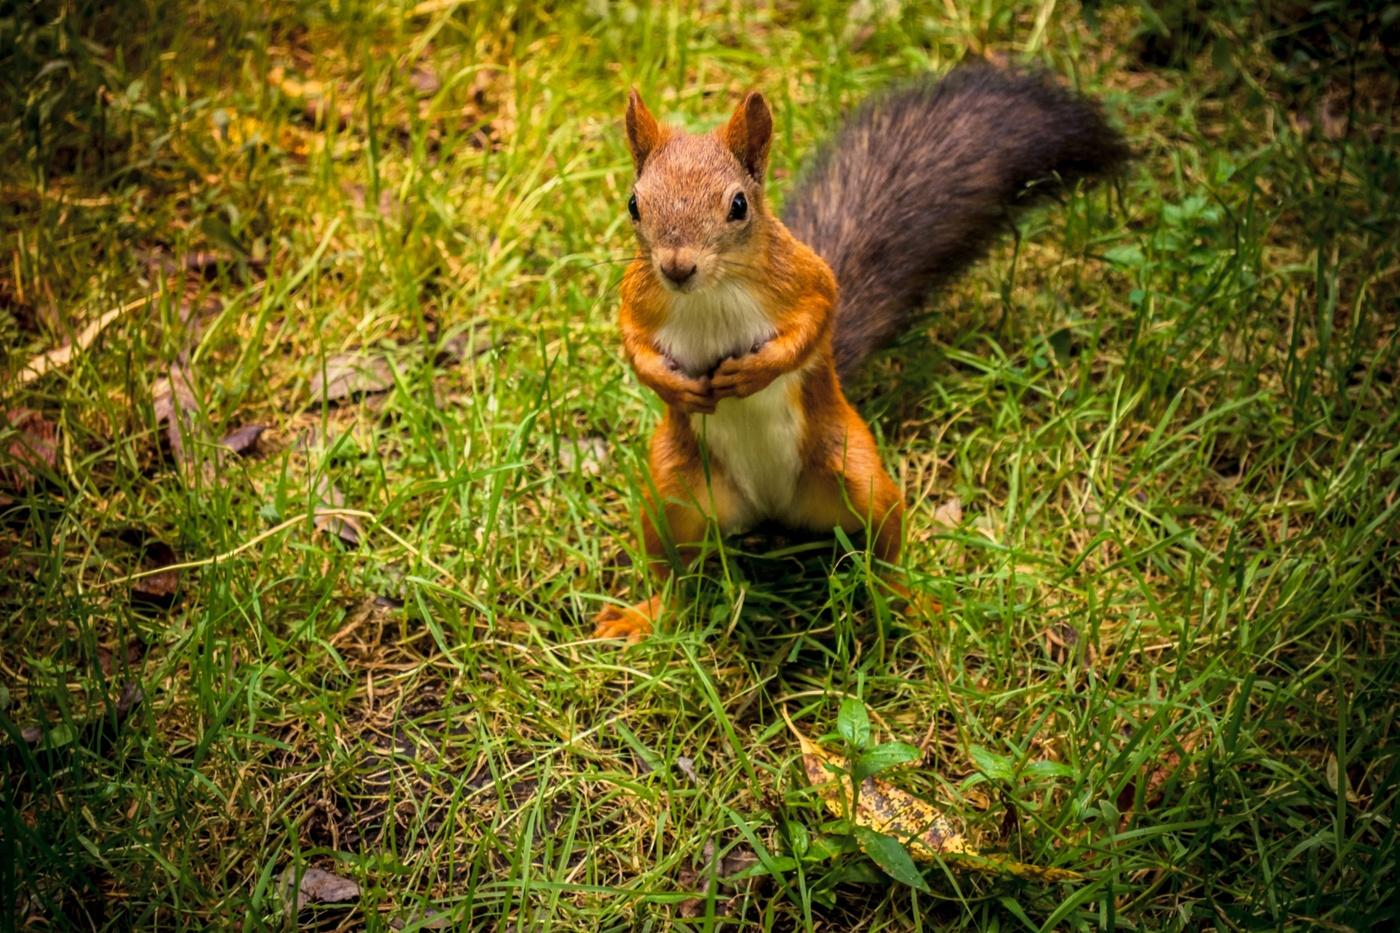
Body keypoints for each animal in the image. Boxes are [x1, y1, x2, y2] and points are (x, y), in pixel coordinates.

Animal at [595, 65, 1128, 642]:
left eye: (738, 205)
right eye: (634, 204)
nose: (676, 267)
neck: (709, 292)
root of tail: (771, 508)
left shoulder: (807, 279)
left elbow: (815, 324)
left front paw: (755, 371)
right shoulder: (638, 297)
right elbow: (632, 343)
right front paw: (670, 383)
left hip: (857, 473)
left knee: (884, 552)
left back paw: (910, 603)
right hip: (671, 493)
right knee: (676, 576)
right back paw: (644, 614)